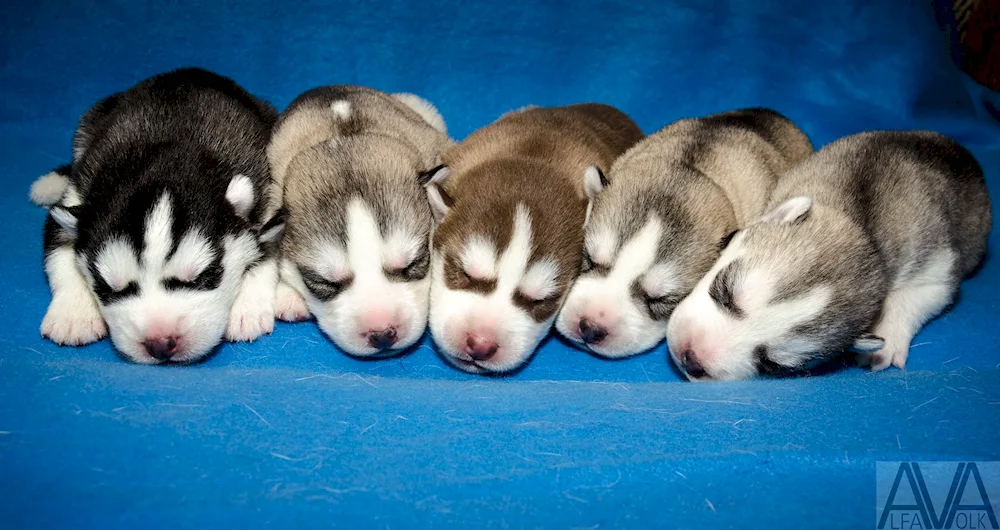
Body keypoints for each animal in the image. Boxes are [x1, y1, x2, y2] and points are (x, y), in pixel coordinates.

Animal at [33, 67, 284, 364]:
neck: (168, 149)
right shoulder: (77, 194)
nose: (160, 344)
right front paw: (73, 313)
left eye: (202, 277)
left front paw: (247, 308)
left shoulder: (267, 197)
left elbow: (267, 252)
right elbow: (59, 246)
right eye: (108, 287)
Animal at [668, 131, 988, 380]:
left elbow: (922, 295)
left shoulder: (937, 266)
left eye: (772, 365)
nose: (690, 359)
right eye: (726, 291)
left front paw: (884, 343)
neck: (862, 230)